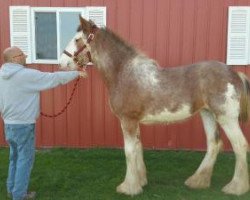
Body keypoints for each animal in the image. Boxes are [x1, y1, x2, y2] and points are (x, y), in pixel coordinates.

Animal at [59, 16, 250, 196]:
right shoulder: (134, 122)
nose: (62, 62)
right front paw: (140, 181)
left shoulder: (127, 120)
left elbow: (129, 151)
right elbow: (138, 147)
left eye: (77, 39)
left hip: (226, 118)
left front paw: (128, 187)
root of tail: (234, 74)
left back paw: (236, 188)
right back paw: (197, 181)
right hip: (207, 114)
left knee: (240, 146)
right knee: (213, 144)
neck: (124, 73)